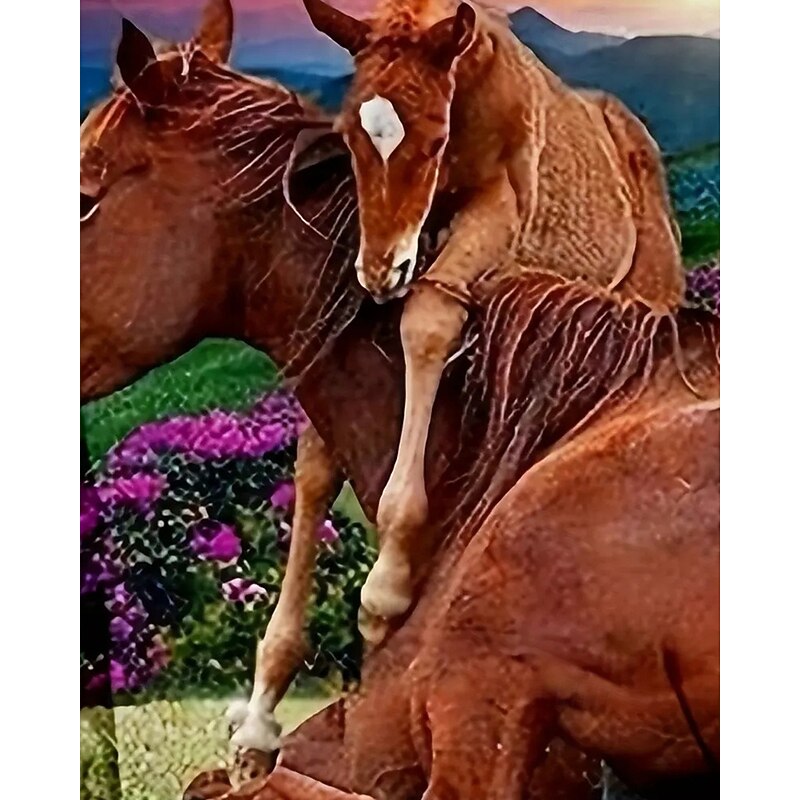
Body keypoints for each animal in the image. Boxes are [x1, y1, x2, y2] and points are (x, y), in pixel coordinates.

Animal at [298, 0, 687, 638]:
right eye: (347, 136)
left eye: (434, 140)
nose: (381, 271)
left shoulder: (499, 210)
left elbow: (427, 319)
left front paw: (386, 587)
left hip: (654, 289)